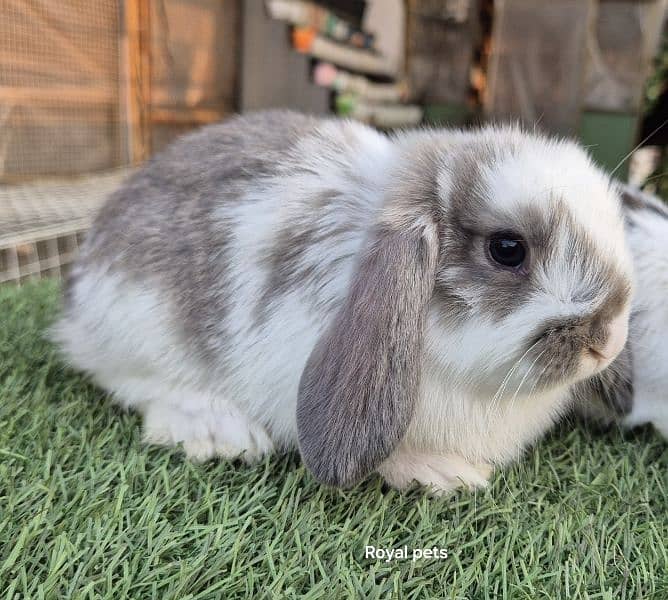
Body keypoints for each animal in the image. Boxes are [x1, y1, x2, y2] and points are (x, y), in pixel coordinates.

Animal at [54, 109, 636, 492]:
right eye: (507, 249)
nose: (608, 343)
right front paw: (440, 472)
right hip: (138, 327)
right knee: (133, 385)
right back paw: (219, 430)